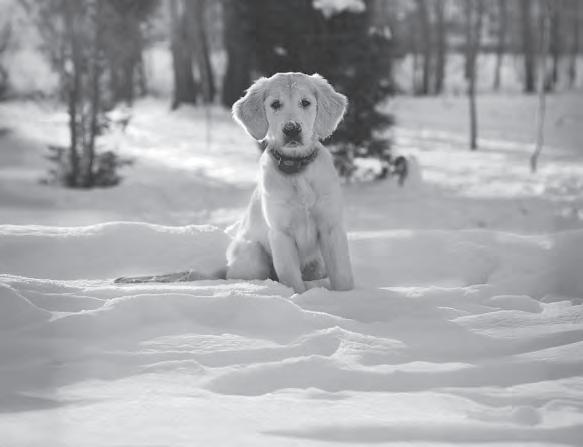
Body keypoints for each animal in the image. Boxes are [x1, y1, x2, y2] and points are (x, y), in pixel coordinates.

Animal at [116, 73, 354, 293]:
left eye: (305, 102)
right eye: (275, 104)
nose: (292, 129)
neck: (296, 169)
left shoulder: (331, 227)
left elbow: (342, 274)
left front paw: (345, 298)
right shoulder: (280, 233)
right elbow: (291, 278)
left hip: (316, 265)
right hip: (253, 253)